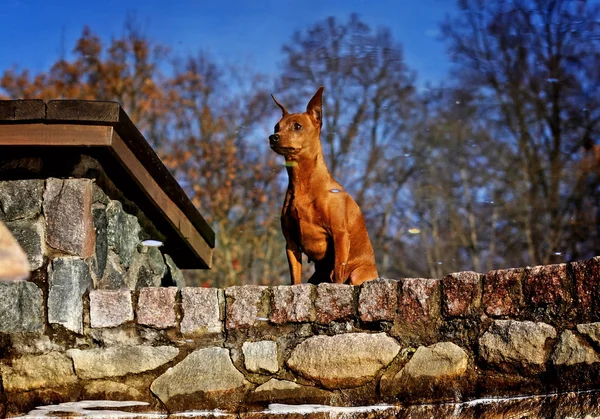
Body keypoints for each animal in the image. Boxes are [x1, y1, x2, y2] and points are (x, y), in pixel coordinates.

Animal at [268, 86, 378, 286]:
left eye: (297, 126)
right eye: (276, 127)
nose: (273, 137)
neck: (303, 182)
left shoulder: (339, 235)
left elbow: (338, 274)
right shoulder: (291, 242)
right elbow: (295, 278)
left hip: (357, 274)